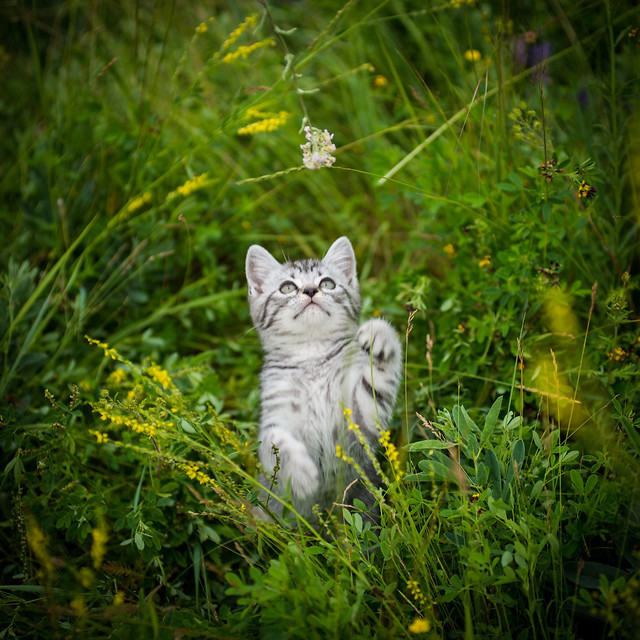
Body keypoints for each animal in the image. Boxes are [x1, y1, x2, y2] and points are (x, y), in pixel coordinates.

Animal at [245, 238, 400, 524]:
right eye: (287, 287)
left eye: (327, 283)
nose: (309, 290)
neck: (312, 356)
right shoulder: (275, 411)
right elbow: (275, 438)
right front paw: (301, 474)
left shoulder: (361, 417)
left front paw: (380, 335)